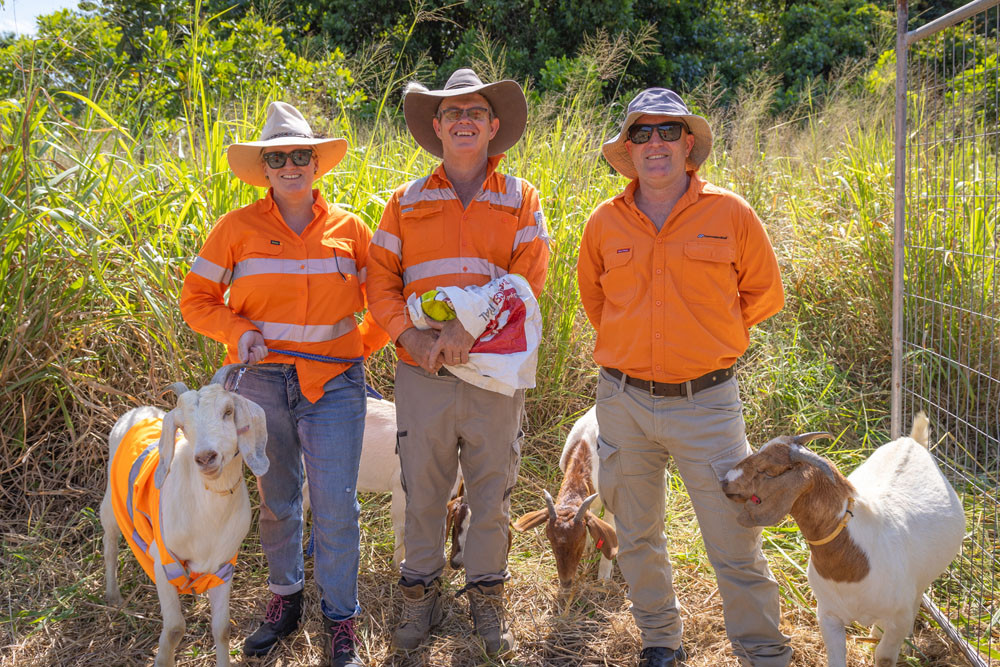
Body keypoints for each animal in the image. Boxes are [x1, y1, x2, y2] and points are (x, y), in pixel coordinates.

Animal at [99, 366, 268, 667]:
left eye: (228, 411)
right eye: (183, 426)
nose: (206, 457)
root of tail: (139, 410)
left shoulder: (224, 565)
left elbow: (222, 629)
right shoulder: (165, 563)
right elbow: (175, 629)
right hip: (110, 503)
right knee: (110, 542)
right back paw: (113, 594)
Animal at [724, 412, 964, 667]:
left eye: (767, 470)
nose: (725, 481)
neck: (854, 559)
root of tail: (912, 442)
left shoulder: (898, 618)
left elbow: (884, 656)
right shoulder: (828, 614)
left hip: (919, 585)